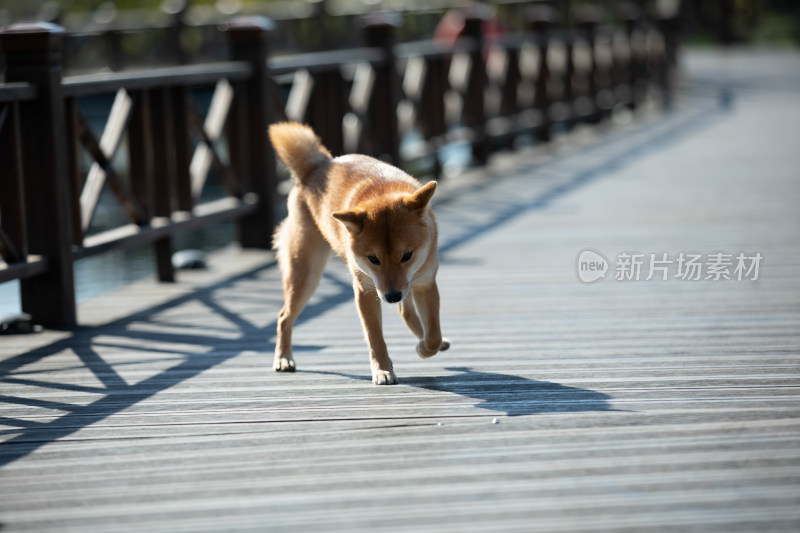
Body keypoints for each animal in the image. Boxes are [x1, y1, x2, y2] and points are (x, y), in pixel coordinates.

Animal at [268, 122, 444, 384]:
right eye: (373, 259)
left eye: (407, 255)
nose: (392, 296)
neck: (383, 190)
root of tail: (318, 165)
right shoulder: (366, 291)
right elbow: (375, 338)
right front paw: (383, 370)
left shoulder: (425, 283)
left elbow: (433, 335)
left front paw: (425, 347)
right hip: (306, 275)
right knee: (283, 317)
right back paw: (283, 358)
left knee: (406, 312)